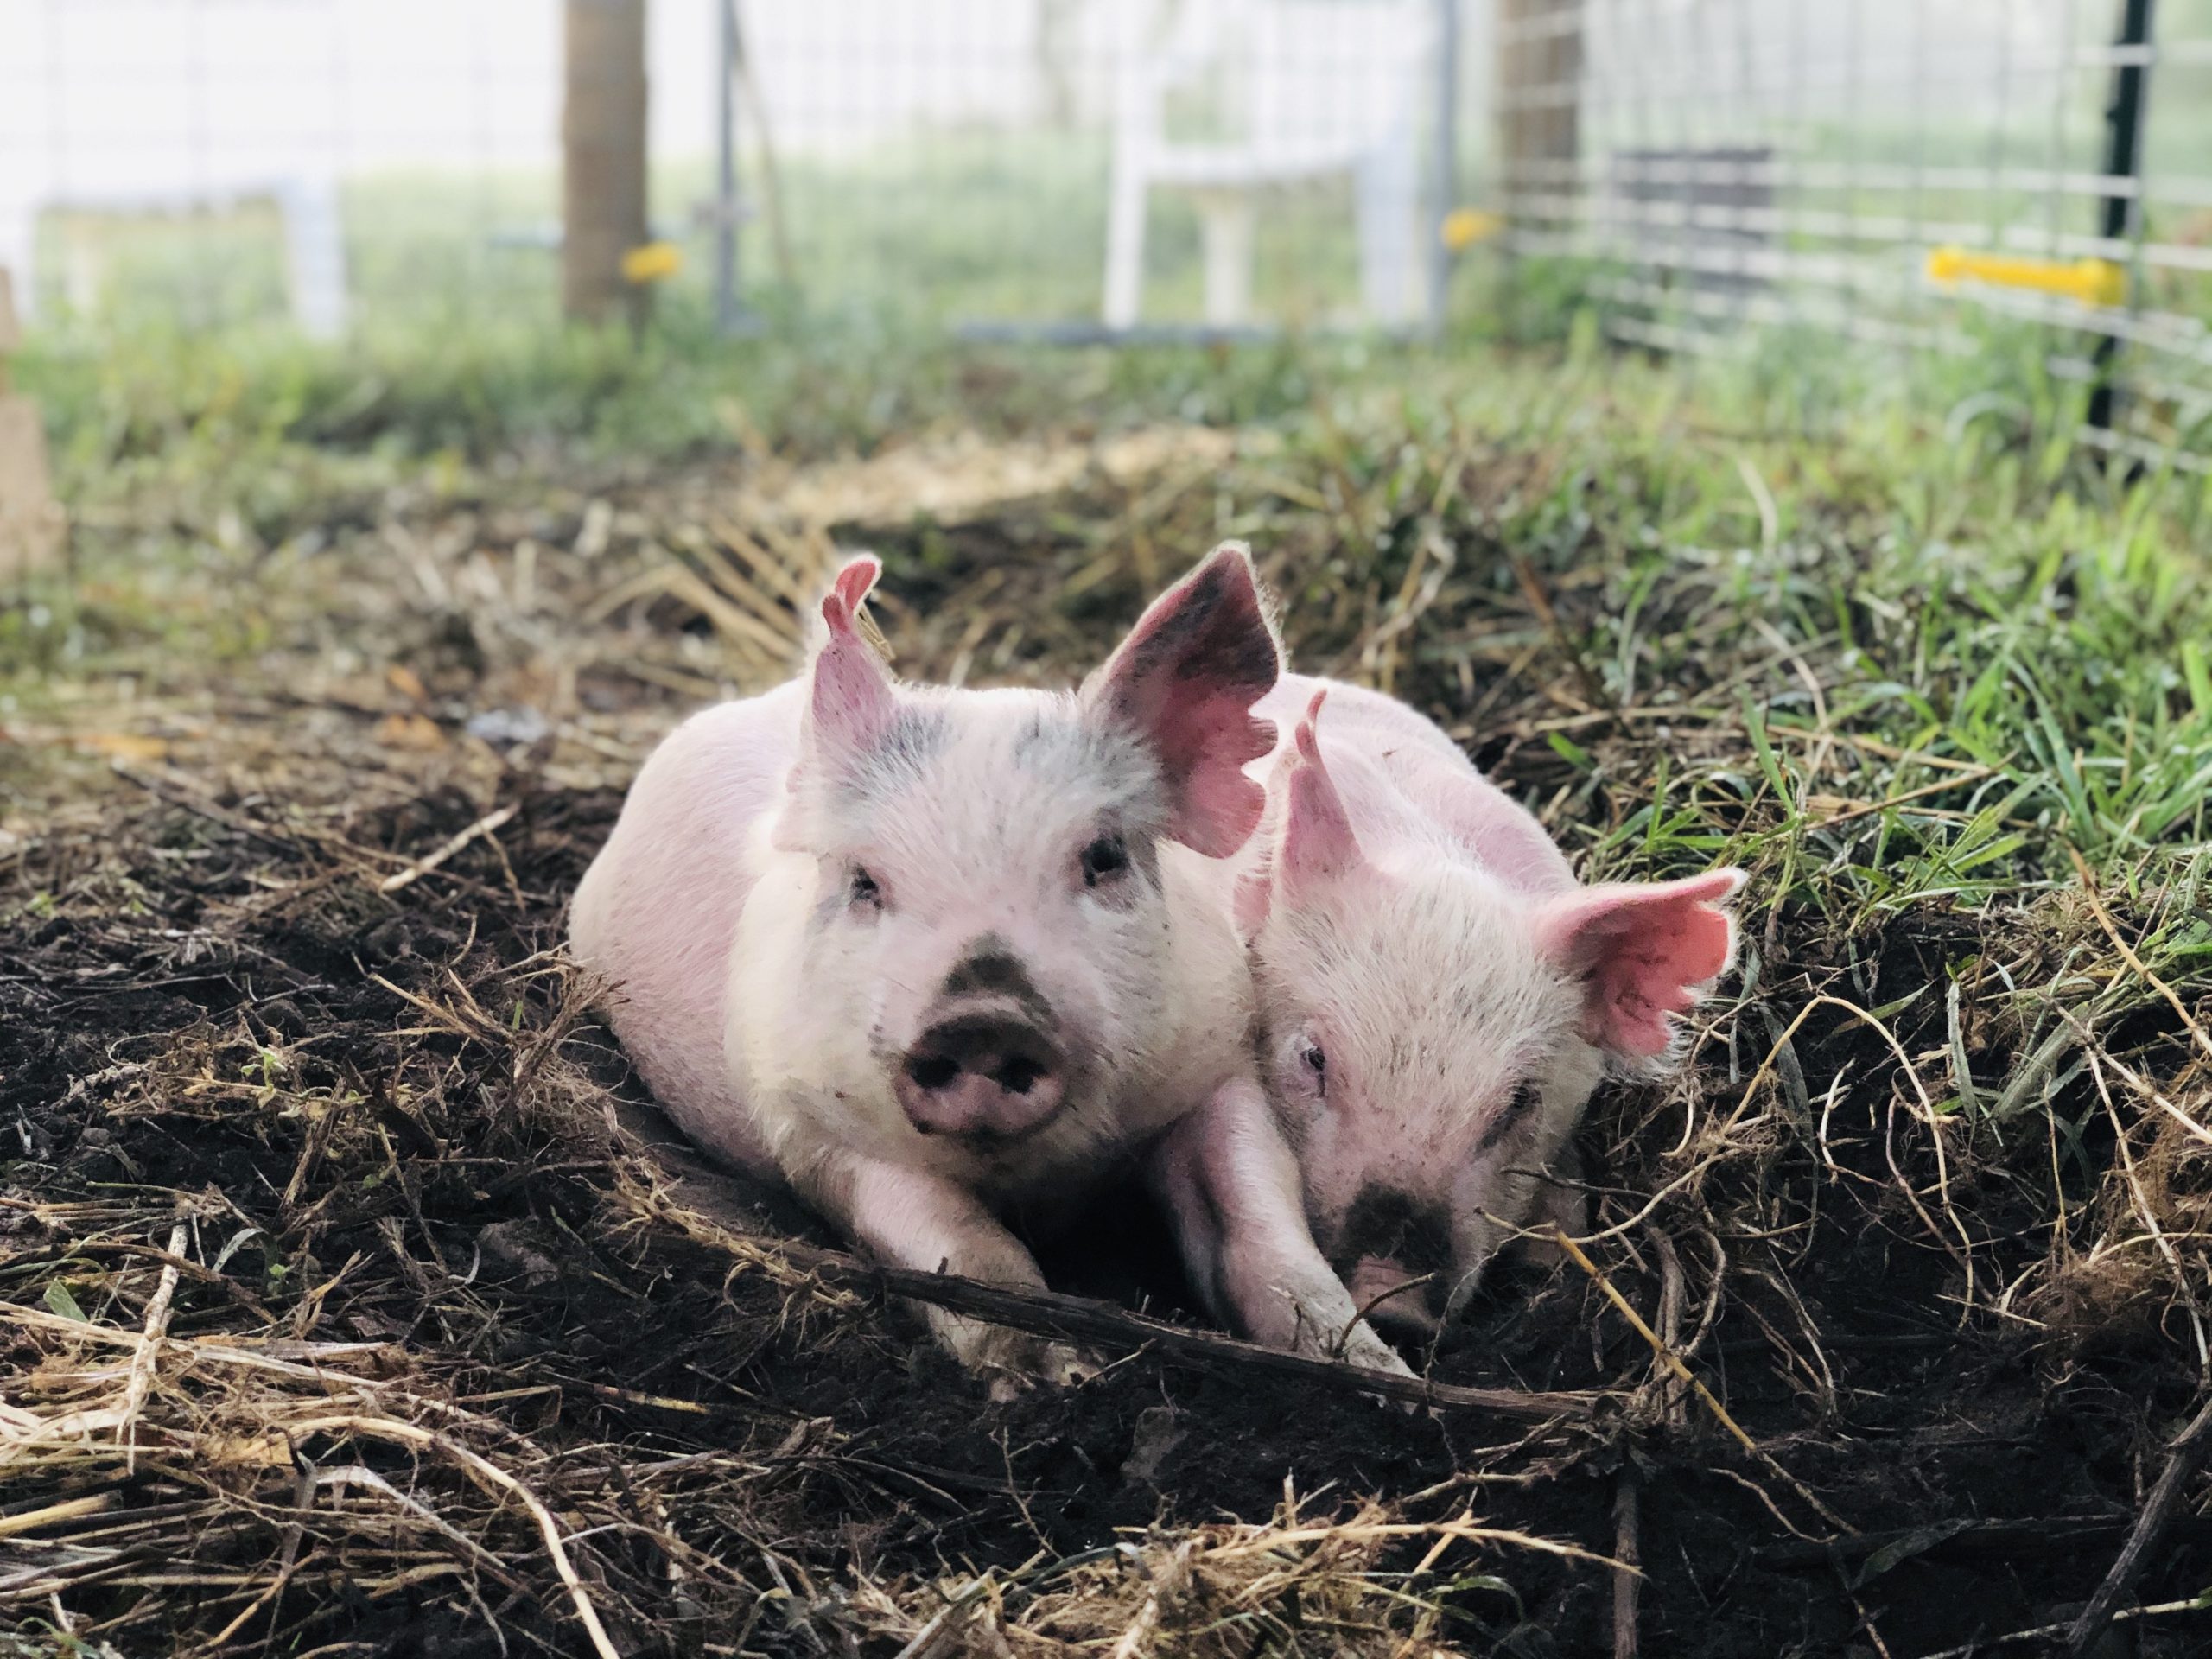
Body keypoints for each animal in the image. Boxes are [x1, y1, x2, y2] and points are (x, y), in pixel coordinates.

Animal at [568, 545, 1407, 1391]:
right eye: (864, 881)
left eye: (1104, 858)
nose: (982, 1017)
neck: (1040, 1176)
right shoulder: (812, 1124)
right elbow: (959, 1245)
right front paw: (1057, 1375)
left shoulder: (1217, 1060)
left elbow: (1261, 1220)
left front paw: (1382, 1375)